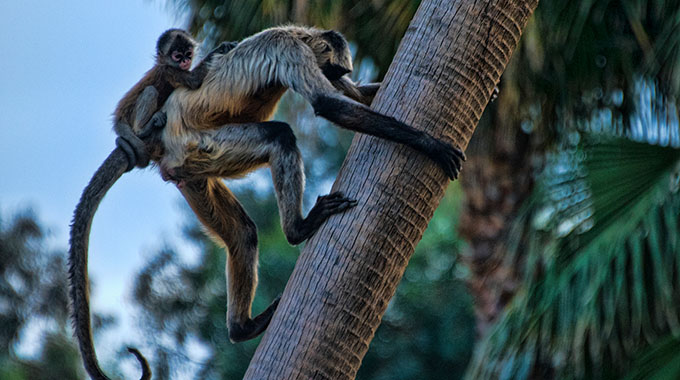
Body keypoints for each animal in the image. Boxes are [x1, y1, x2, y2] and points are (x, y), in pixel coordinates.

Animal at [67, 28, 235, 378]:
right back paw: (146, 126)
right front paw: (221, 49)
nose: (184, 60)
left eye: (187, 52)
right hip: (135, 115)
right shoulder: (169, 73)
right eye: (176, 55)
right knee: (149, 91)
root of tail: (120, 121)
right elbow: (193, 81)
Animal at [151, 24, 464, 344]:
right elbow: (329, 103)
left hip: (196, 172)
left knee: (243, 234)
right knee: (280, 137)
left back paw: (241, 328)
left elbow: (357, 96)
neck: (294, 32)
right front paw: (428, 143)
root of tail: (167, 152)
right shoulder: (290, 49)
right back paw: (297, 229)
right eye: (336, 70)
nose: (337, 76)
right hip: (202, 146)